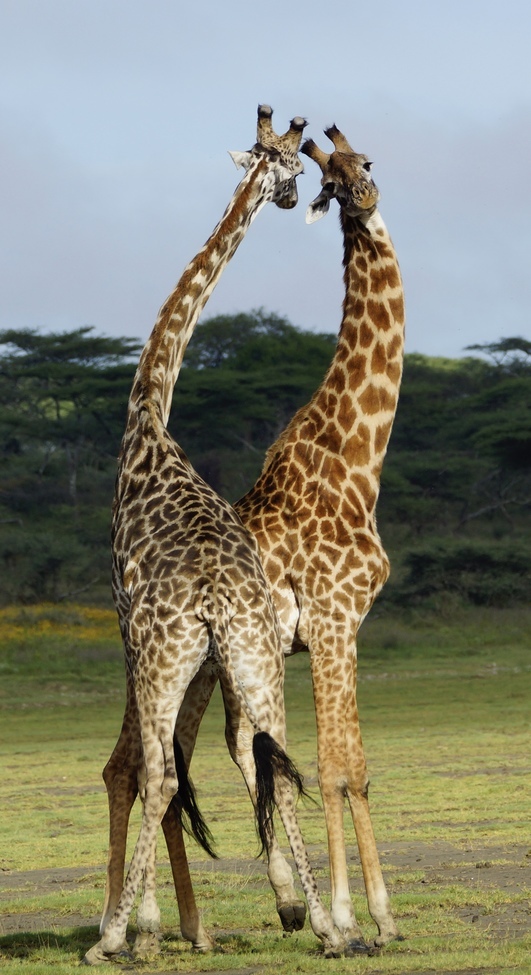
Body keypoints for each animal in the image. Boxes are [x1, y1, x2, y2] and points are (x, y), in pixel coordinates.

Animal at [84, 106, 347, 966]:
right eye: (286, 163)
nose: (298, 195)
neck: (148, 421)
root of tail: (215, 601)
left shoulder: (126, 625)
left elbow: (151, 770)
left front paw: (138, 926)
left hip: (169, 658)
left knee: (162, 772)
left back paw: (114, 936)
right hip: (257, 659)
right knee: (272, 759)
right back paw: (330, 928)